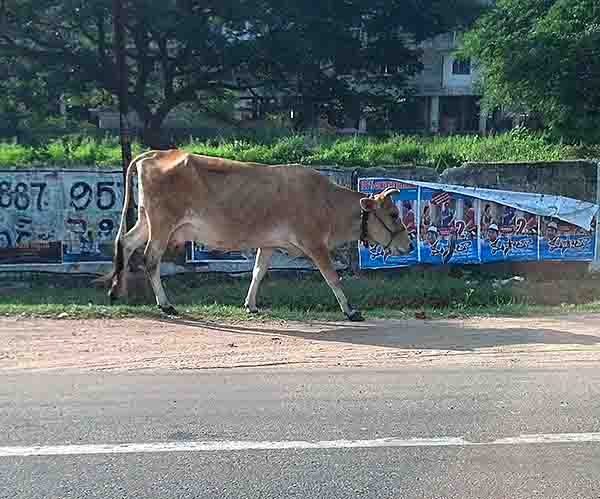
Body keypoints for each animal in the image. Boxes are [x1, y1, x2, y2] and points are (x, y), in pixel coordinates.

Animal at [101, 149, 414, 320]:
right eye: (393, 214)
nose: (409, 244)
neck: (326, 201)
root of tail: (156, 153)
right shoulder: (315, 244)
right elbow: (332, 278)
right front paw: (350, 311)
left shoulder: (268, 244)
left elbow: (258, 273)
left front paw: (250, 305)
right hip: (162, 224)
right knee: (150, 259)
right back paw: (165, 305)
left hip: (146, 220)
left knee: (126, 243)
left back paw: (117, 291)